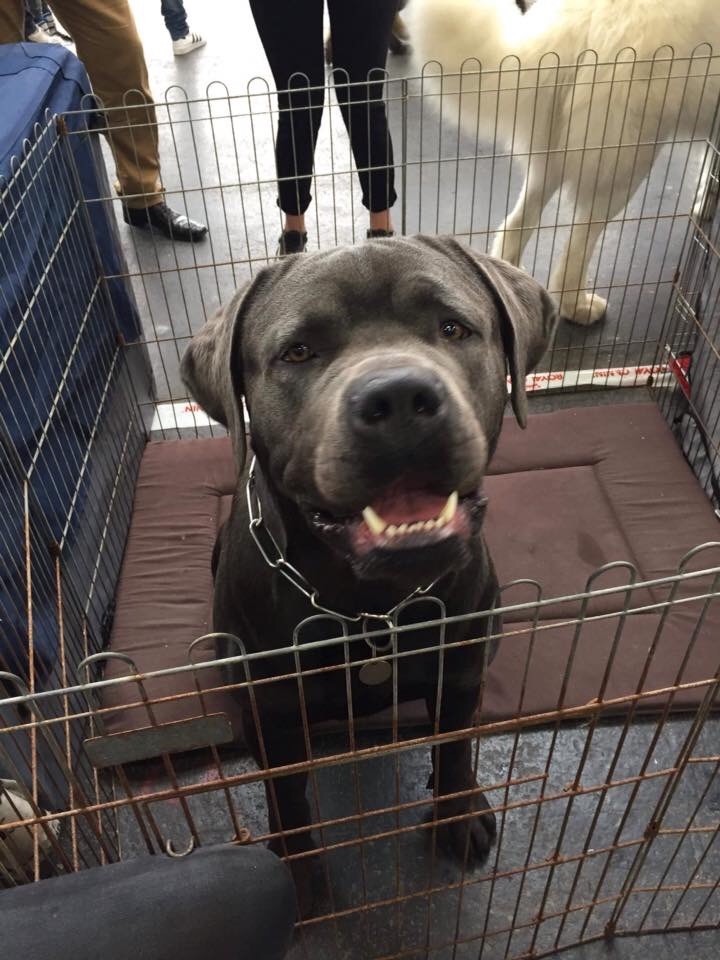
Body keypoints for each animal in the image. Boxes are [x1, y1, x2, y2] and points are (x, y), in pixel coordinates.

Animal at [181, 234, 556, 908]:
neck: (370, 604)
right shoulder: (276, 714)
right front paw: (295, 868)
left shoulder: (459, 671)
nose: (400, 397)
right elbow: (287, 796)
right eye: (298, 351)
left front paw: (457, 812)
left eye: (453, 327)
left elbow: (455, 747)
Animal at [408, 0, 716, 324]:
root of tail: (578, 20)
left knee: (516, 225)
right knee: (577, 248)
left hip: (553, 156)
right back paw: (577, 305)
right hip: (626, 161)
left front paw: (705, 203)